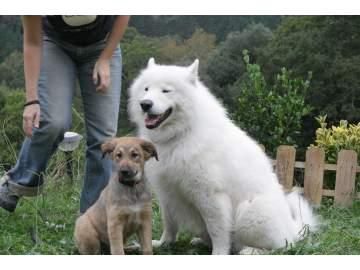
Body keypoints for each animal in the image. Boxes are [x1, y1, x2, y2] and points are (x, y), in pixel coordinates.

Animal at [127, 58, 318, 254]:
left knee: (280, 247)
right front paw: (162, 244)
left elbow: (217, 230)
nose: (145, 104)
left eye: (166, 90)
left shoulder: (210, 196)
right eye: (146, 89)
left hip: (250, 211)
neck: (181, 135)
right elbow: (169, 224)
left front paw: (219, 253)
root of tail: (293, 230)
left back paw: (250, 251)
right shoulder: (167, 193)